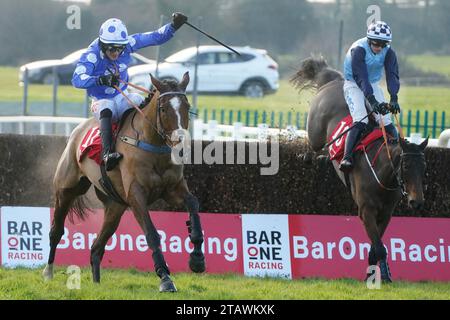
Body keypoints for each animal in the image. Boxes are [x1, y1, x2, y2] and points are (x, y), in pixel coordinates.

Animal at [42, 72, 204, 292]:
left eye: (187, 106)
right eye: (163, 108)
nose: (181, 143)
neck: (151, 145)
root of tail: (77, 131)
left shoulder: (173, 189)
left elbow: (193, 204)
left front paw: (197, 259)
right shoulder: (136, 195)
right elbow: (152, 234)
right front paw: (165, 278)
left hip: (115, 206)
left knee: (97, 246)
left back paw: (96, 283)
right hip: (66, 189)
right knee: (56, 231)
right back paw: (48, 272)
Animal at [294, 57, 428, 282]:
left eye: (424, 167)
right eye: (406, 166)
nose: (416, 202)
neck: (382, 175)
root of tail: (334, 80)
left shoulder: (386, 212)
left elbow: (376, 246)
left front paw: (377, 273)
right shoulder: (366, 210)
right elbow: (379, 247)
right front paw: (379, 277)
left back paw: (324, 158)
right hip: (316, 130)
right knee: (313, 144)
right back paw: (309, 156)